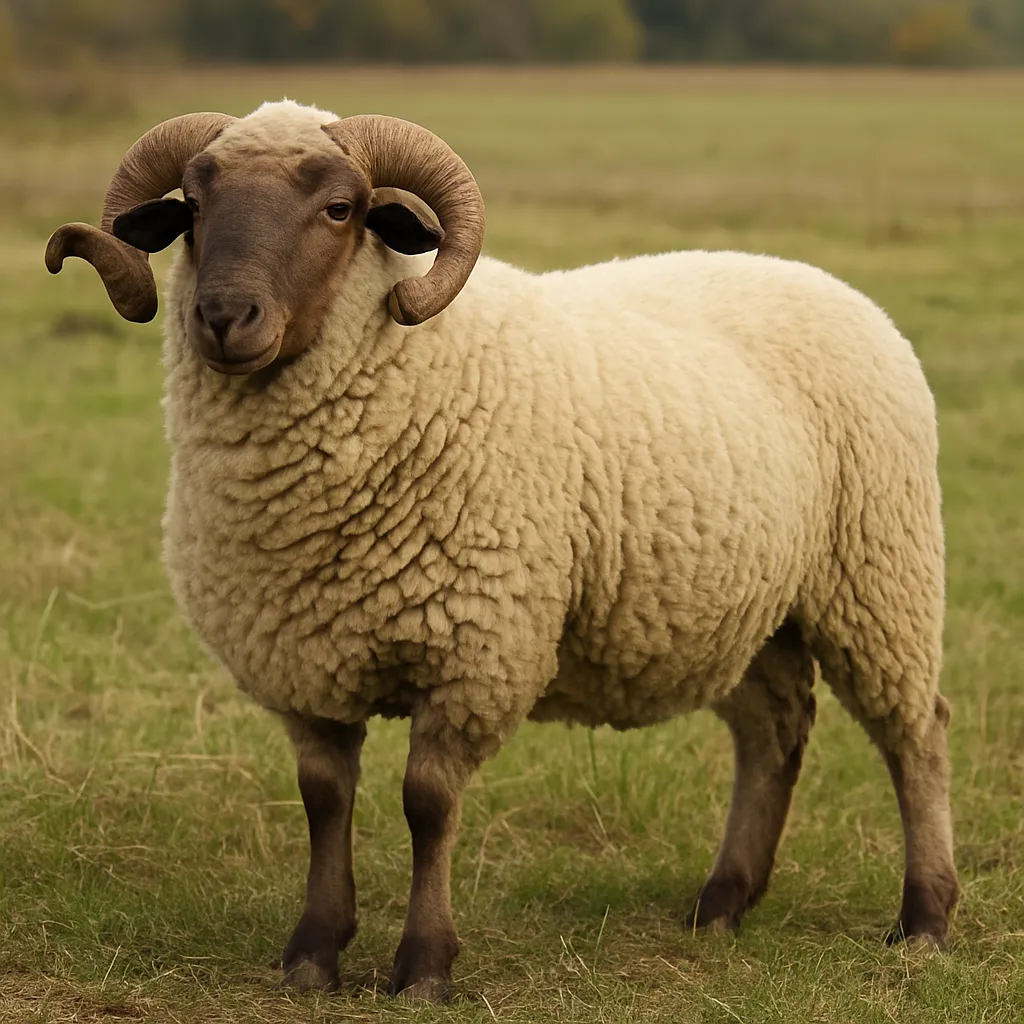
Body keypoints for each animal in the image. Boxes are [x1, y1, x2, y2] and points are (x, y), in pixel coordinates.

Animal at [45, 98, 960, 1002]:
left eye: (340, 209)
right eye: (193, 209)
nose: (225, 318)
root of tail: (833, 287)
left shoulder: (475, 650)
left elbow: (427, 804)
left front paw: (423, 967)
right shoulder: (303, 660)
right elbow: (324, 800)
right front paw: (313, 954)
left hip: (881, 574)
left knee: (916, 733)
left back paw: (922, 921)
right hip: (747, 610)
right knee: (772, 732)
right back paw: (723, 906)